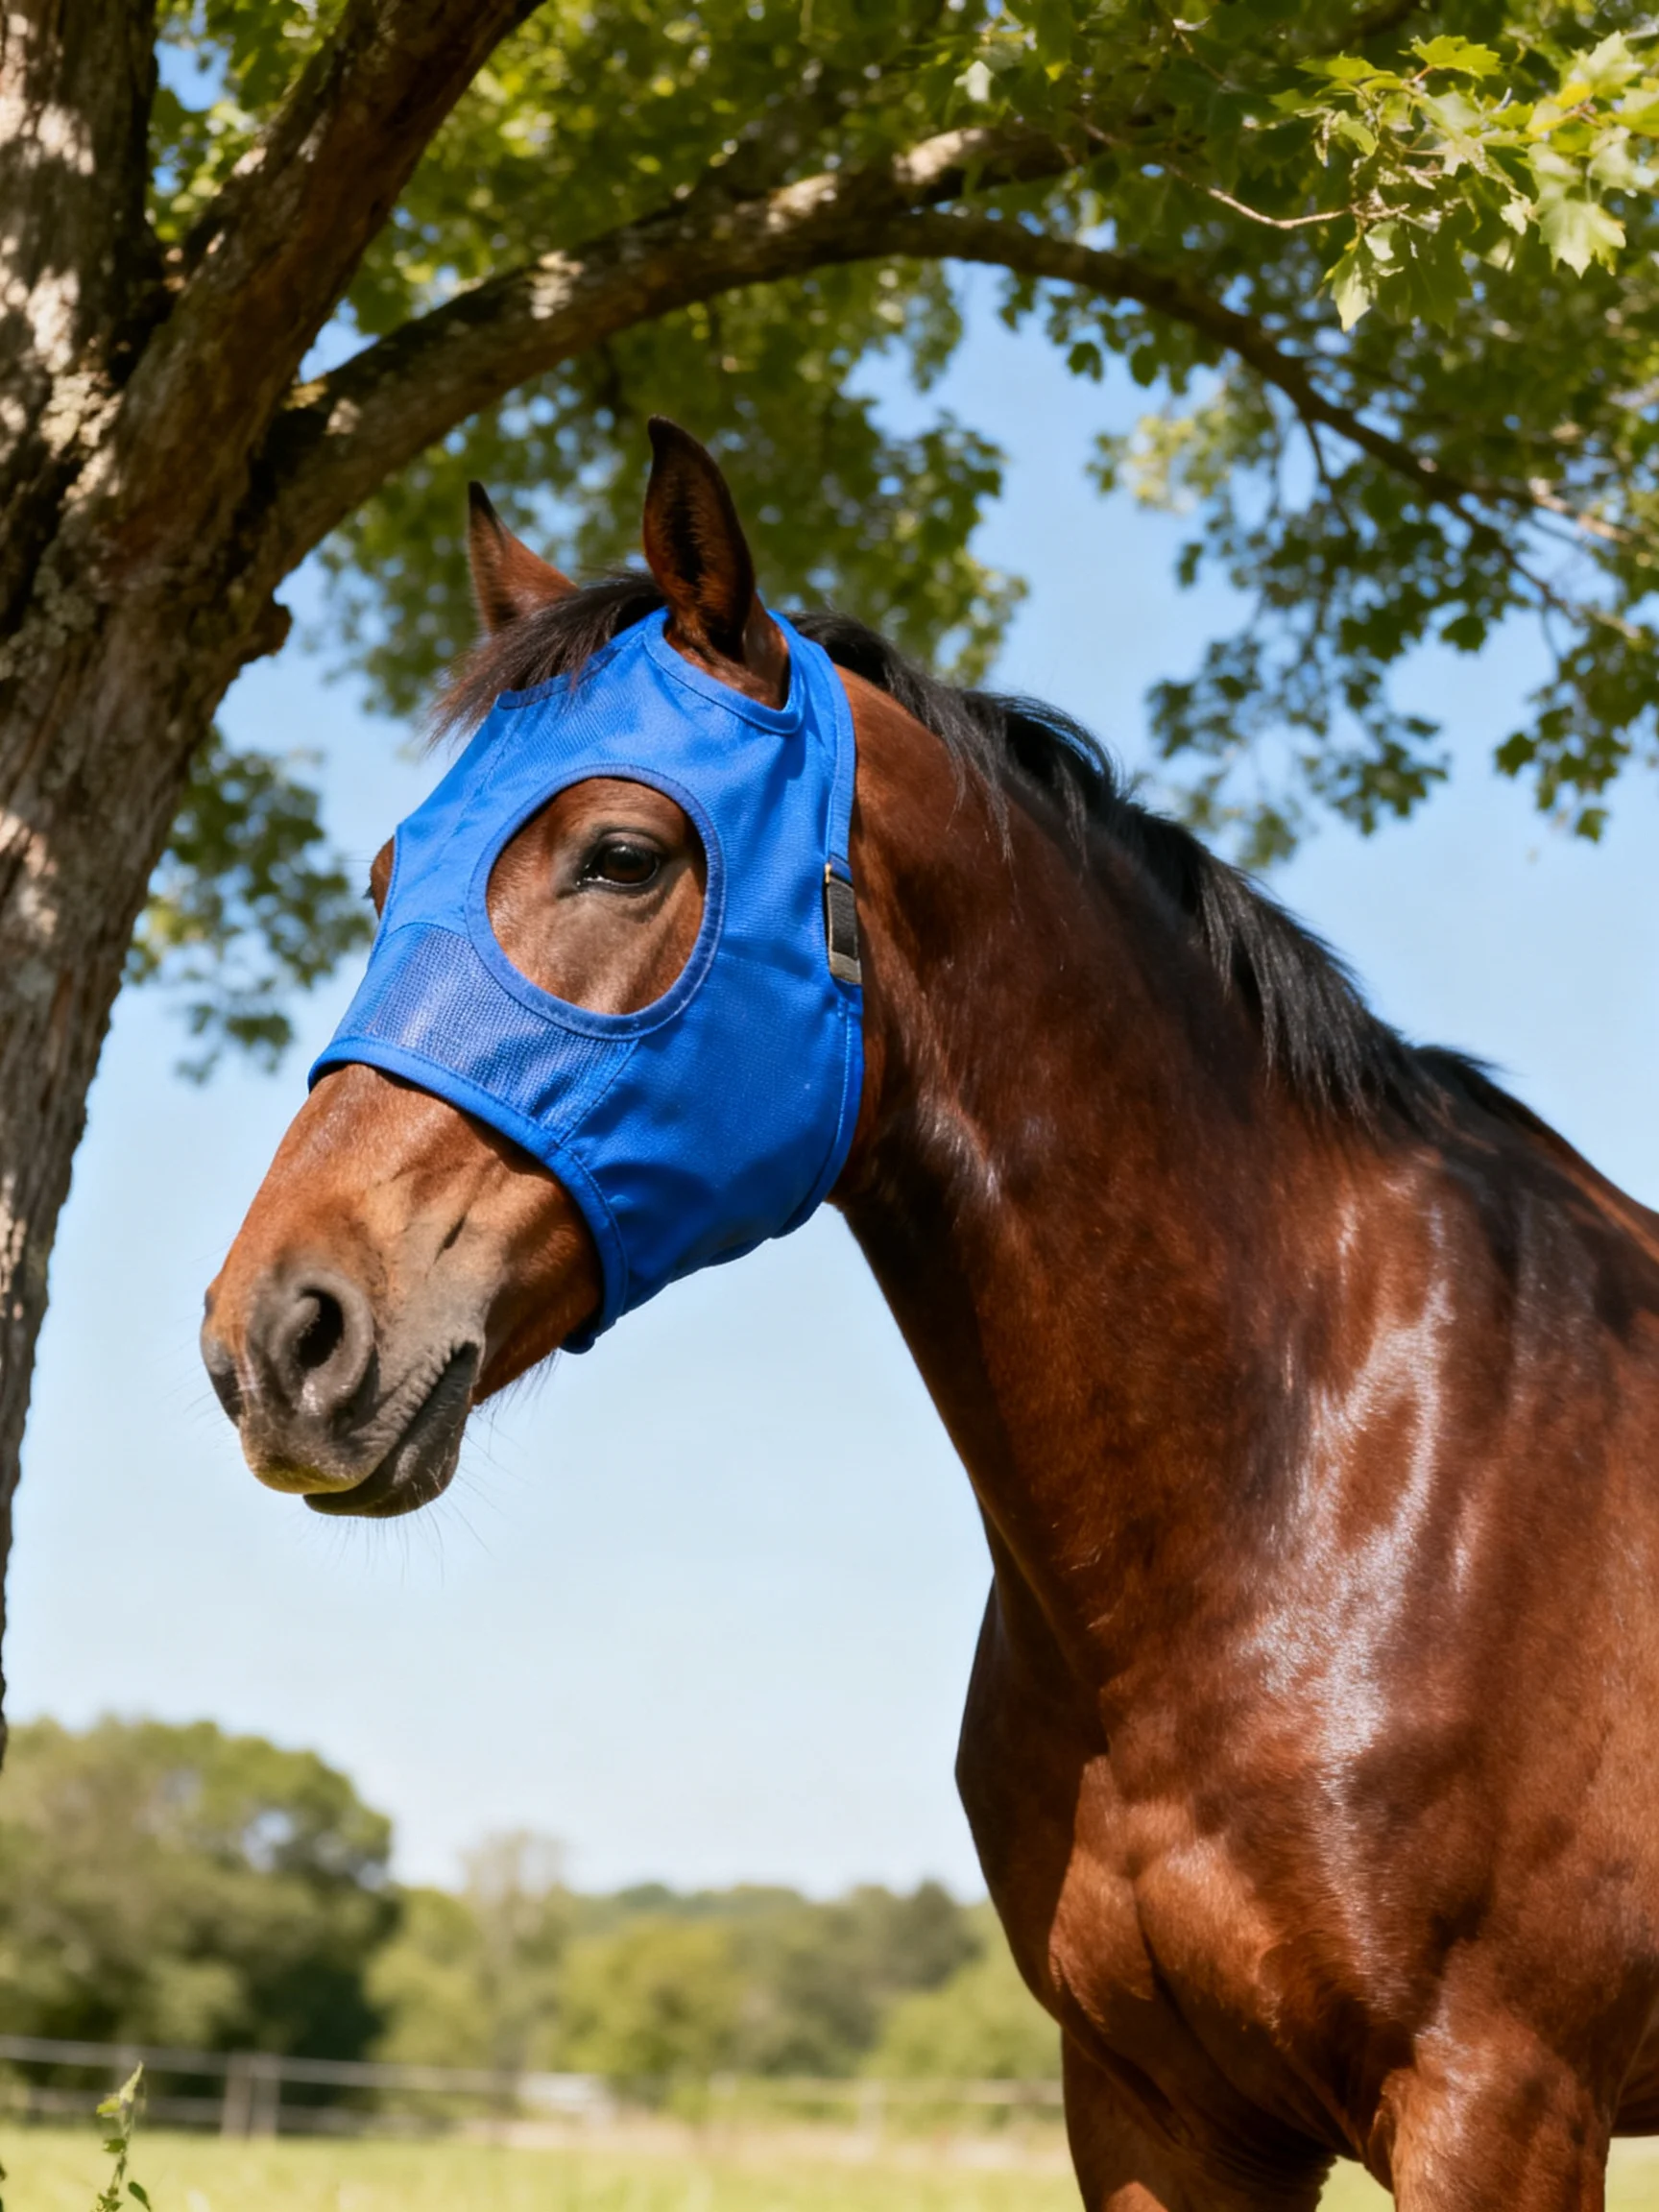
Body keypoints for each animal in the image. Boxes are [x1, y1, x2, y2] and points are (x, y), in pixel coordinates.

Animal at [203, 419, 1659, 2210]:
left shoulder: (1497, 2104)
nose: (277, 1334)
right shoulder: (1153, 2109)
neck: (1322, 1477)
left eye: (622, 854)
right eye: (386, 876)